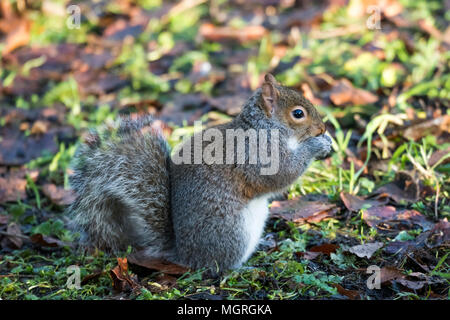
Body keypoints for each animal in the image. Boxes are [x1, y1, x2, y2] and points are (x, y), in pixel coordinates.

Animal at [69, 74, 330, 272]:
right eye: (298, 114)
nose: (323, 128)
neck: (264, 129)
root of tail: (183, 254)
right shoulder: (258, 155)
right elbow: (281, 175)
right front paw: (316, 145)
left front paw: (326, 141)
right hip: (232, 232)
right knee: (218, 266)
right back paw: (241, 268)